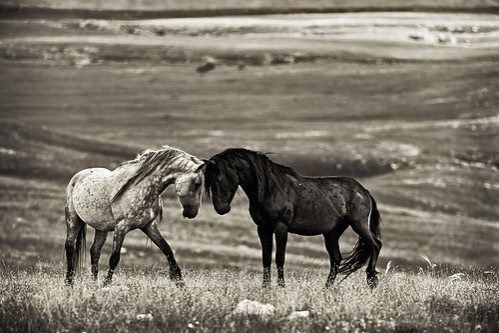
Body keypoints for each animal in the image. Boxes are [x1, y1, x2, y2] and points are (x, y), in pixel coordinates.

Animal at [205, 148, 384, 288]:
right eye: (209, 182)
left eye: (219, 178)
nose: (221, 209)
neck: (270, 189)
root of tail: (364, 191)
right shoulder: (263, 228)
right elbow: (265, 258)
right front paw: (265, 287)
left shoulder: (281, 227)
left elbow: (279, 258)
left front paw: (281, 286)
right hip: (332, 233)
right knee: (336, 258)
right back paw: (326, 289)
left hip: (359, 224)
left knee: (376, 245)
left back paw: (371, 280)